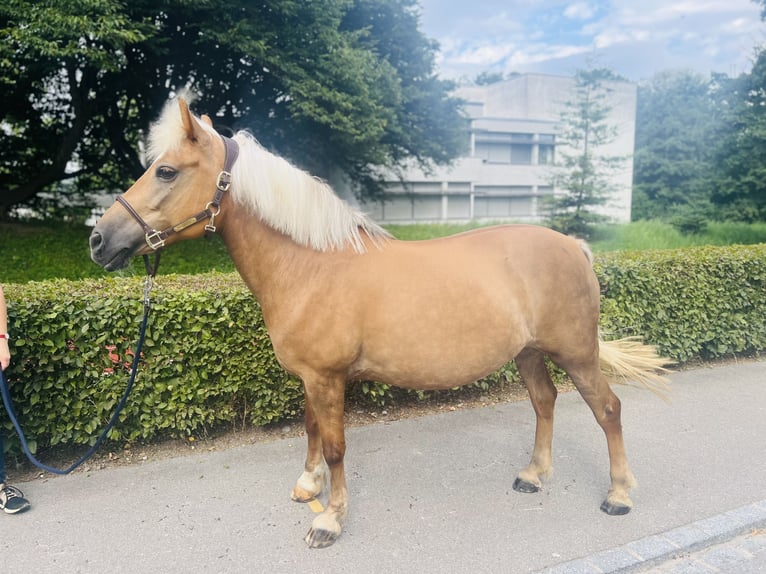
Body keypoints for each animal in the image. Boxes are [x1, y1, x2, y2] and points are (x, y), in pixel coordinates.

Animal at [88, 97, 664, 552]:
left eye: (166, 170)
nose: (99, 240)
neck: (312, 264)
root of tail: (573, 245)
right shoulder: (314, 377)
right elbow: (311, 428)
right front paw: (308, 486)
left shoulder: (327, 378)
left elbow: (337, 445)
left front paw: (329, 520)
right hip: (528, 352)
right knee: (544, 402)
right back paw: (533, 476)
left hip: (576, 353)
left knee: (607, 410)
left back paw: (618, 494)